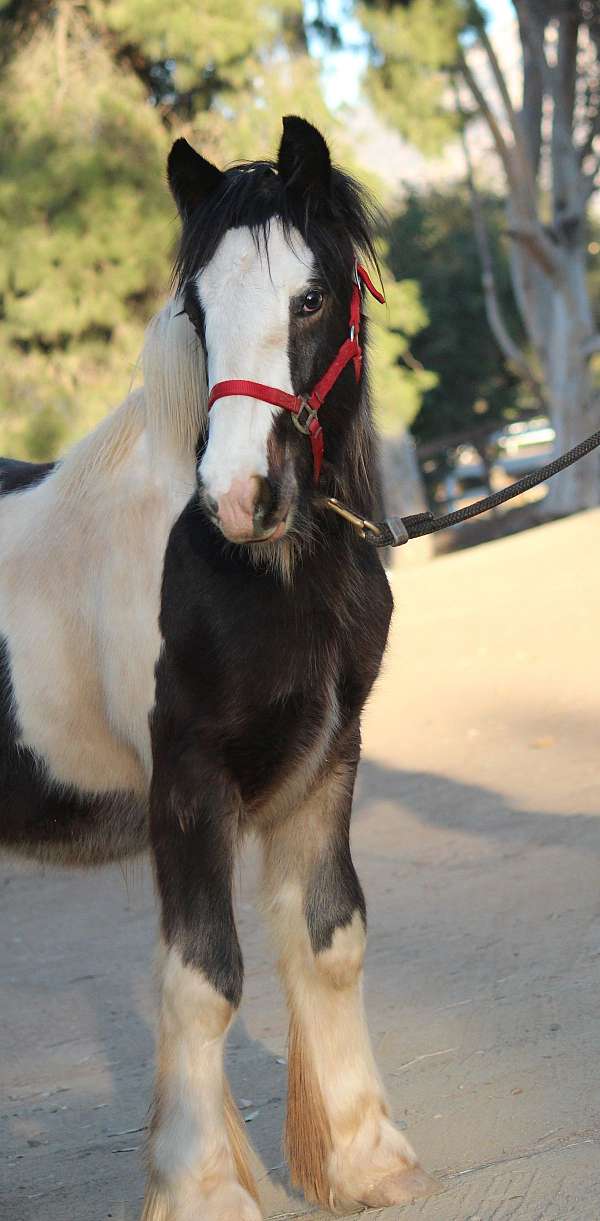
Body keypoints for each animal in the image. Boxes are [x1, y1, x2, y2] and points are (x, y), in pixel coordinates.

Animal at [0, 116, 437, 1221]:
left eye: (310, 298)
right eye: (198, 308)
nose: (240, 495)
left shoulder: (328, 760)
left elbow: (329, 941)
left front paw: (363, 1159)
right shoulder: (189, 787)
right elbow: (203, 982)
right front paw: (202, 1189)